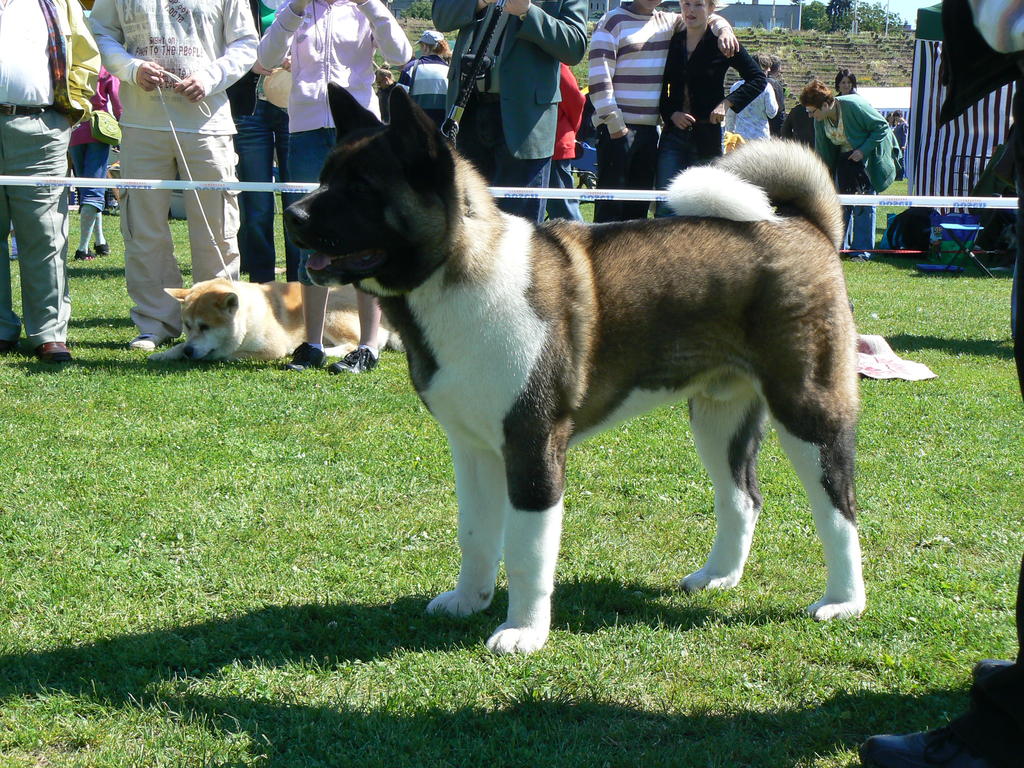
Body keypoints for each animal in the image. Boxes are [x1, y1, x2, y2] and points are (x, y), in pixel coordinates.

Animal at [148, 278, 399, 362]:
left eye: (205, 326)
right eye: (188, 326)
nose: (189, 352)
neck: (248, 318)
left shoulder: (271, 348)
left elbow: (227, 355)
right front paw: (165, 354)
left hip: (331, 313)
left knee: (351, 343)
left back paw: (328, 351)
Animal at [285, 84, 865, 655]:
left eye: (361, 187)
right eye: (326, 176)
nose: (293, 214)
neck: (460, 271)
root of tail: (803, 225)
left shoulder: (532, 446)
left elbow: (527, 552)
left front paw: (523, 632)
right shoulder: (473, 449)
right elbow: (475, 534)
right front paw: (469, 601)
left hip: (808, 410)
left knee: (839, 510)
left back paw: (842, 601)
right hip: (718, 417)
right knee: (742, 498)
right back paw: (718, 576)